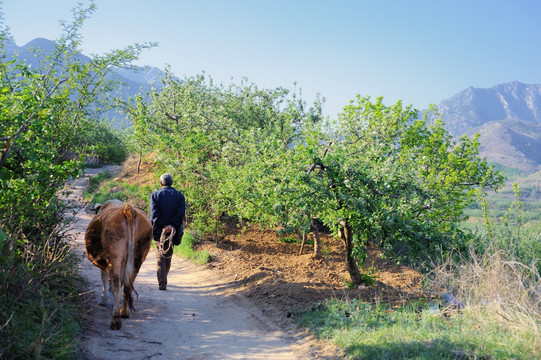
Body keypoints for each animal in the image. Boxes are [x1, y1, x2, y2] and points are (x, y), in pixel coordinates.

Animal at [84, 200, 152, 330]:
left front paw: (105, 298)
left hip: (114, 258)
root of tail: (128, 209)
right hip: (137, 259)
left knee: (116, 283)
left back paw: (116, 319)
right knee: (128, 285)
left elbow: (105, 278)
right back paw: (124, 312)